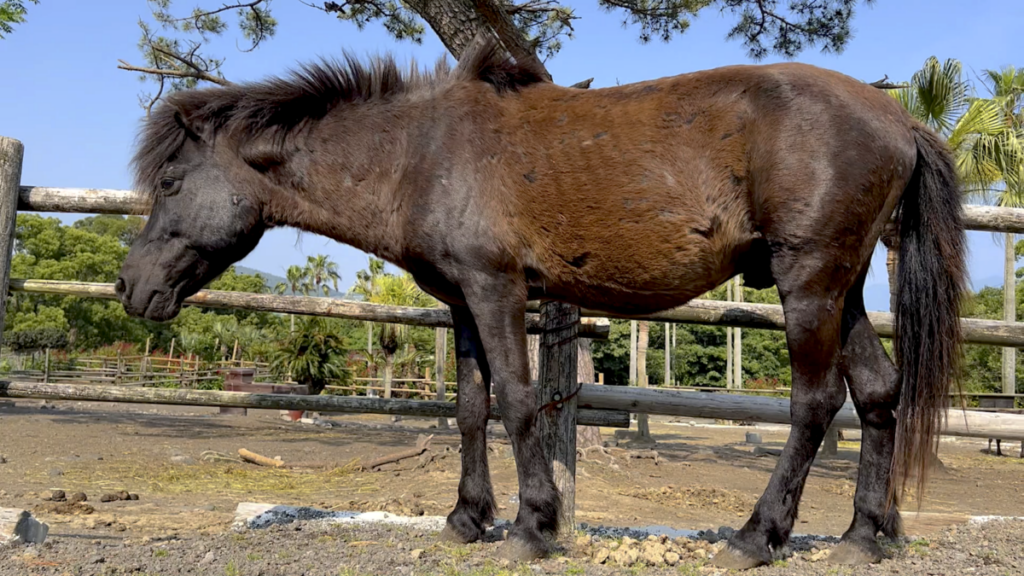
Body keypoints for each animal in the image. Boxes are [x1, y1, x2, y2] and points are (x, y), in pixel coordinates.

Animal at [115, 33, 966, 568]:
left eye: (170, 181)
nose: (131, 287)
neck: (418, 153)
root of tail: (901, 117)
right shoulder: (460, 300)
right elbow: (470, 407)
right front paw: (467, 518)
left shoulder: (497, 289)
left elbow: (520, 402)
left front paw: (534, 524)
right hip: (840, 286)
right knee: (878, 392)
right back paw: (864, 536)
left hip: (808, 281)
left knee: (816, 402)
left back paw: (757, 537)